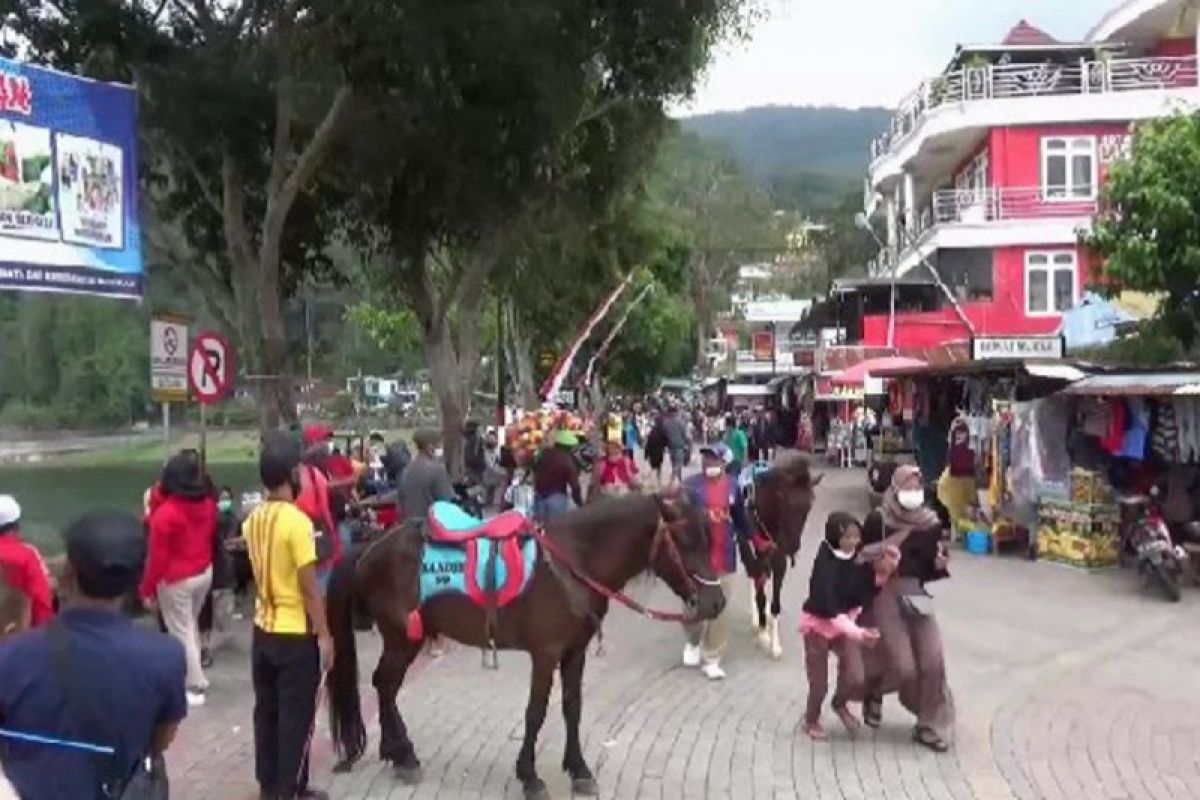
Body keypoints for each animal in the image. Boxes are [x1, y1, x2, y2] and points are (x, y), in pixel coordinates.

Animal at [324, 494, 724, 800]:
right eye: (684, 540)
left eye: (707, 538)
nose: (716, 602)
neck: (573, 561)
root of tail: (369, 548)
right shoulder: (545, 654)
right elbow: (536, 713)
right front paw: (529, 775)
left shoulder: (574, 652)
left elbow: (572, 708)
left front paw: (579, 769)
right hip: (402, 637)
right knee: (385, 683)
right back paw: (403, 755)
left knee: (385, 686)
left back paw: (397, 752)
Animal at [734, 453, 820, 662]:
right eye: (786, 503)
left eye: (808, 507)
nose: (793, 546)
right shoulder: (758, 553)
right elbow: (760, 593)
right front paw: (763, 633)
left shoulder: (780, 558)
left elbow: (774, 603)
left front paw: (775, 645)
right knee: (753, 575)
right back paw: (757, 620)